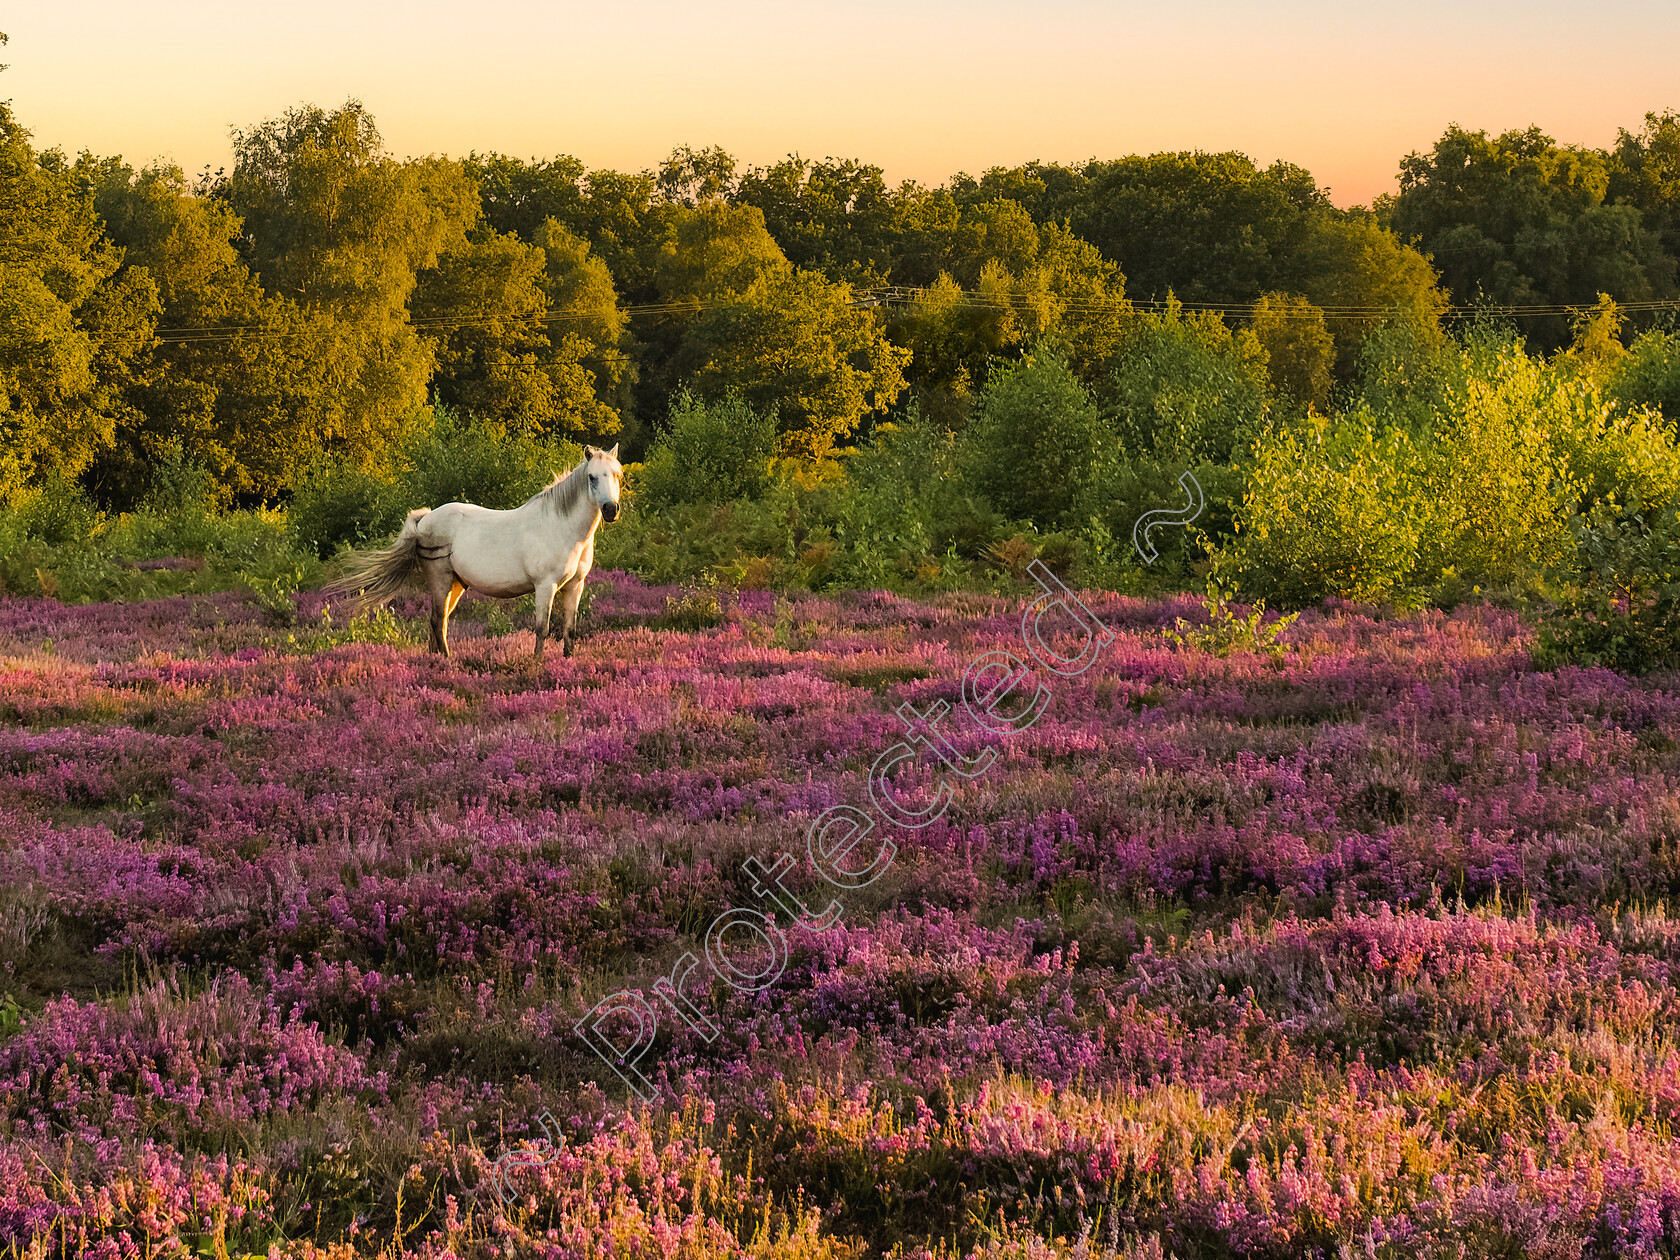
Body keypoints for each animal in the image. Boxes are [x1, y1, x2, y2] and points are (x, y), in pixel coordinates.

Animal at [327, 446, 624, 661]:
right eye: (592, 477)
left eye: (617, 475)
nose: (611, 510)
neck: (561, 526)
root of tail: (424, 520)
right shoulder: (545, 586)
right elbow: (542, 628)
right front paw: (537, 664)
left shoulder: (575, 586)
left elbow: (570, 629)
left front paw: (567, 663)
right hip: (440, 579)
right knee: (437, 620)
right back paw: (446, 660)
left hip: (457, 584)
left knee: (439, 622)